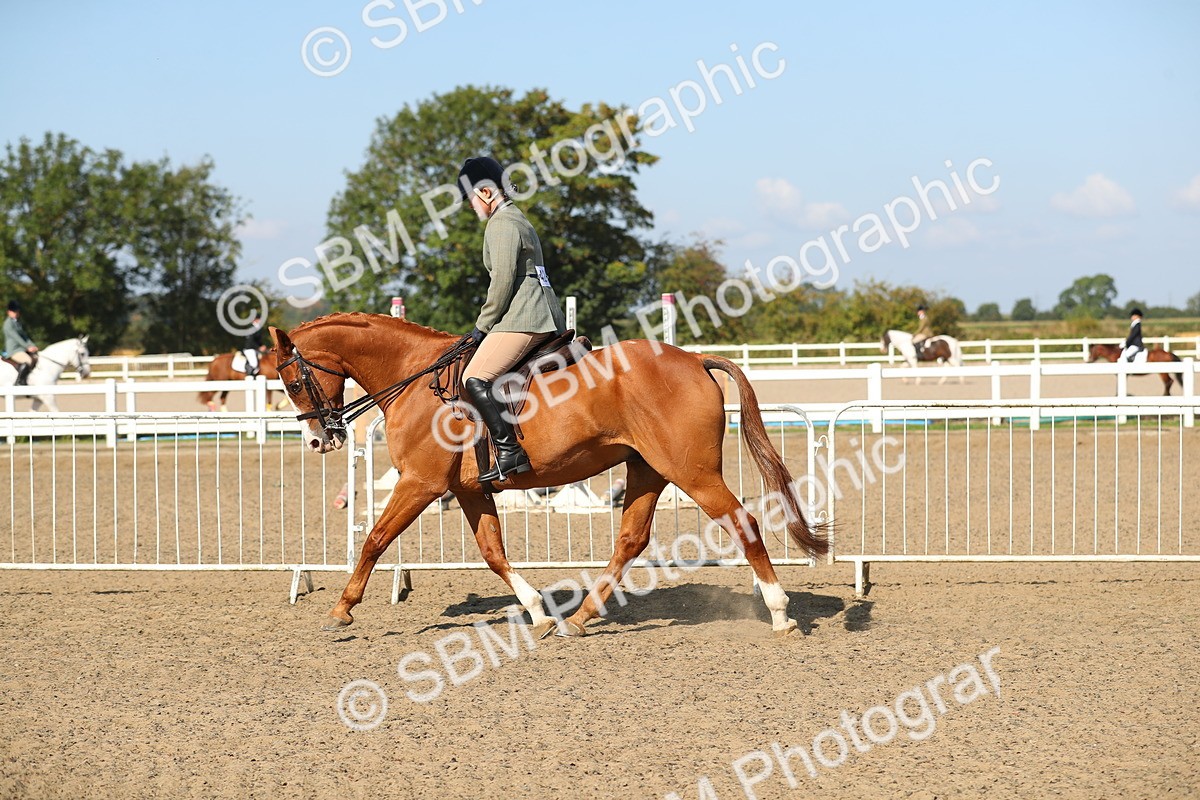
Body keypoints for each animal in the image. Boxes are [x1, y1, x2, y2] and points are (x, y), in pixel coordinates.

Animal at [270, 313, 829, 638]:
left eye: (293, 381)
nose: (319, 440)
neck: (415, 378)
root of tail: (694, 359)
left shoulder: (420, 484)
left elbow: (375, 539)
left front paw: (342, 608)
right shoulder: (468, 491)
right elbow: (492, 552)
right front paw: (537, 610)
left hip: (691, 471)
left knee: (743, 524)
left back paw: (779, 612)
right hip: (648, 470)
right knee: (631, 539)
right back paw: (578, 619)